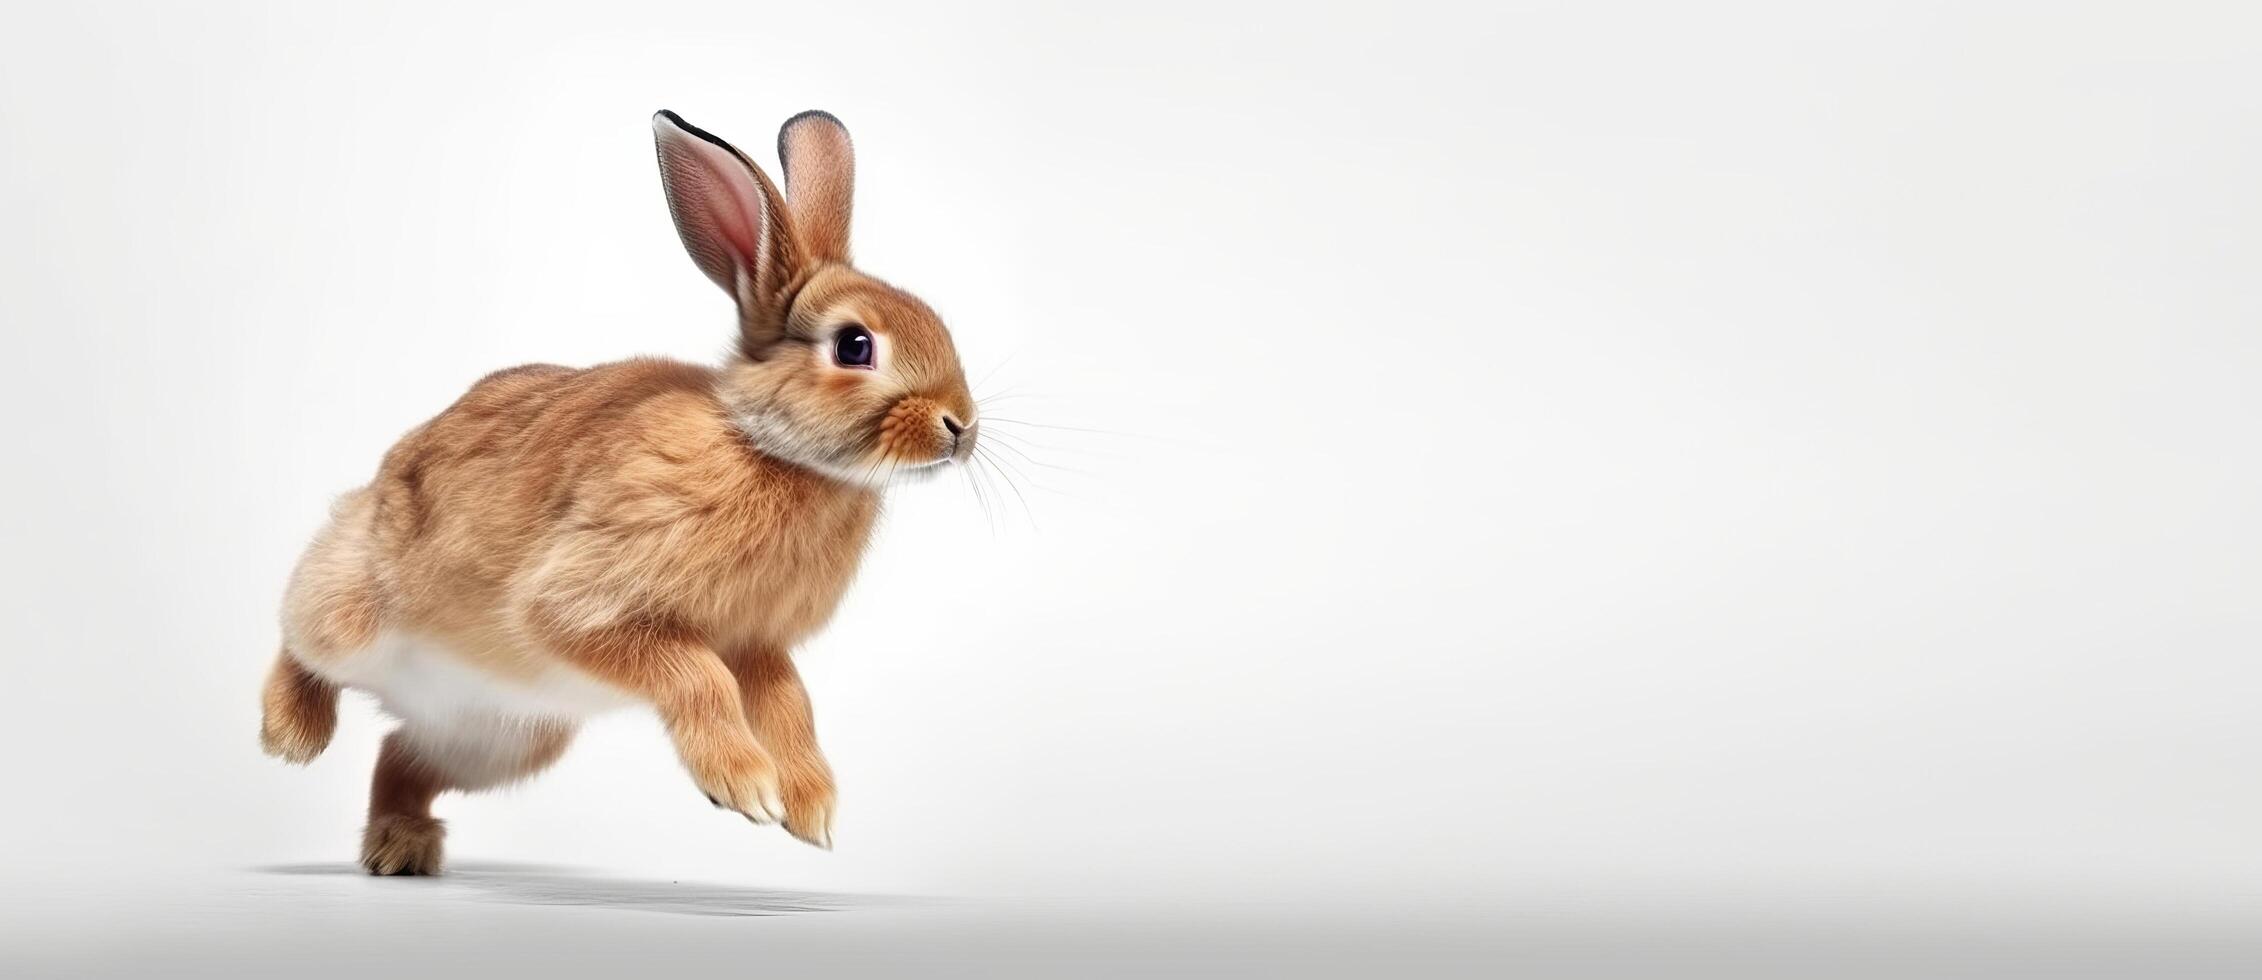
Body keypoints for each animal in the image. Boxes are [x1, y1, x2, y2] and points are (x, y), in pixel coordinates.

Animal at [258, 110, 981, 873]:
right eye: (853, 346)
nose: (961, 427)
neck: (767, 448)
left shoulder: (756, 644)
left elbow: (792, 708)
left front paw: (812, 814)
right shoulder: (591, 603)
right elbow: (696, 676)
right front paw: (746, 788)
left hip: (502, 737)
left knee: (400, 753)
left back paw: (402, 847)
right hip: (353, 615)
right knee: (300, 634)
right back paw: (291, 733)